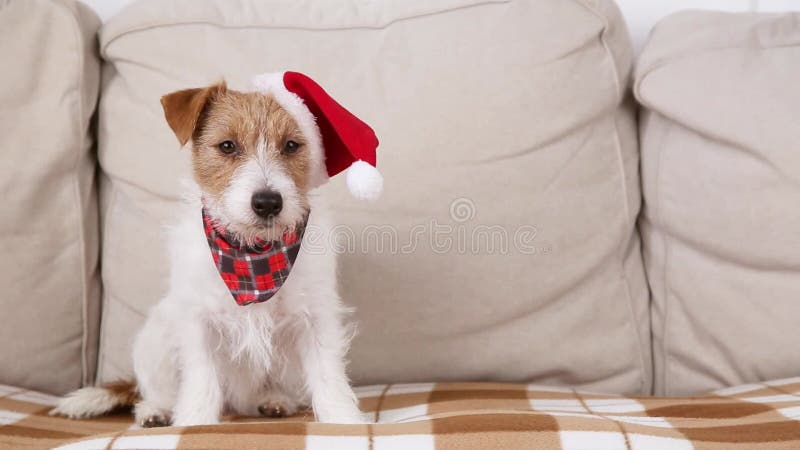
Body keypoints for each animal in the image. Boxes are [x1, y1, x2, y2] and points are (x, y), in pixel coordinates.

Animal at [51, 72, 382, 428]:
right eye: (227, 146)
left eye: (291, 145)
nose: (268, 202)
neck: (252, 257)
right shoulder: (200, 322)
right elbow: (201, 379)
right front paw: (194, 423)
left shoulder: (315, 318)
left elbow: (328, 375)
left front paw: (343, 421)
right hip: (156, 340)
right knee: (154, 390)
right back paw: (156, 410)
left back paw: (273, 401)